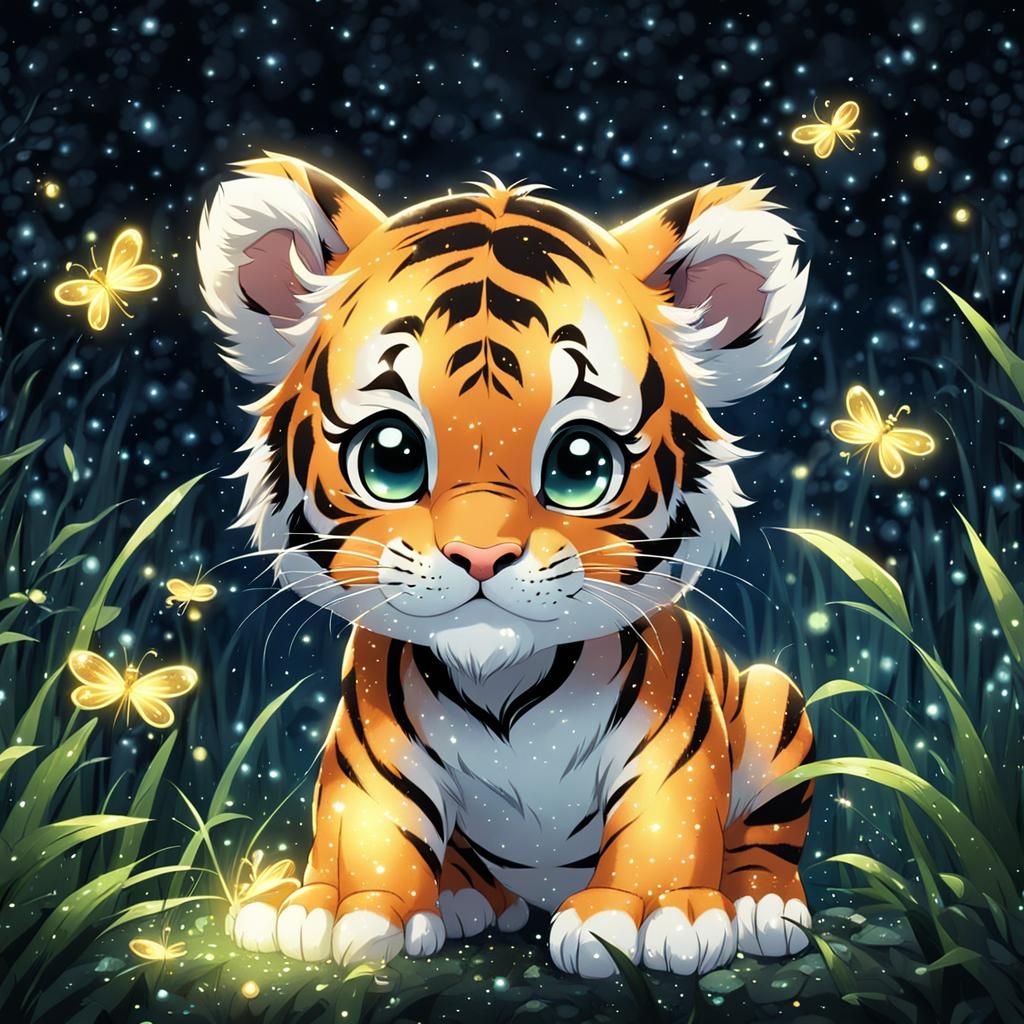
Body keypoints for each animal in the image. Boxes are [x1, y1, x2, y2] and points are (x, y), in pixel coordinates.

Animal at [197, 153, 814, 978]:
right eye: (389, 455)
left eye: (581, 463)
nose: (481, 554)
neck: (503, 683)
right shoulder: (372, 750)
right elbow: (365, 826)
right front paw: (338, 909)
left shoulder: (674, 754)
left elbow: (668, 824)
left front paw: (649, 918)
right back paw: (448, 897)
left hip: (777, 697)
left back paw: (762, 905)